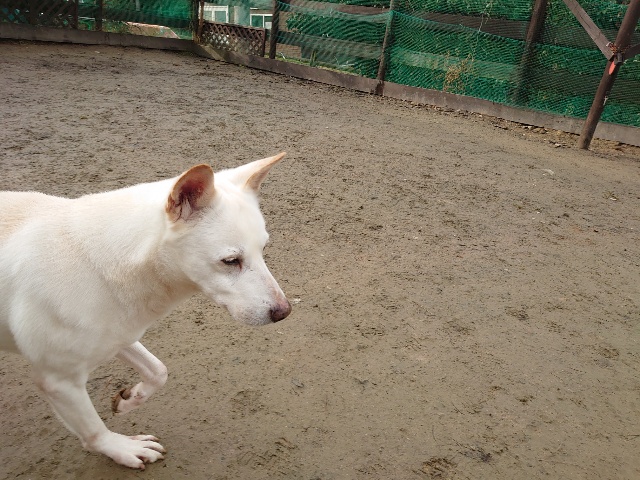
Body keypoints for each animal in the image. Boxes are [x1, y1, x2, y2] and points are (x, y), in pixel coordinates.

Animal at [0, 153, 291, 469]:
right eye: (230, 260)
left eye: (263, 249)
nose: (284, 312)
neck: (102, 263)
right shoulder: (57, 380)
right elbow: (93, 431)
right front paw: (122, 447)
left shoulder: (120, 335)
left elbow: (158, 371)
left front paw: (129, 399)